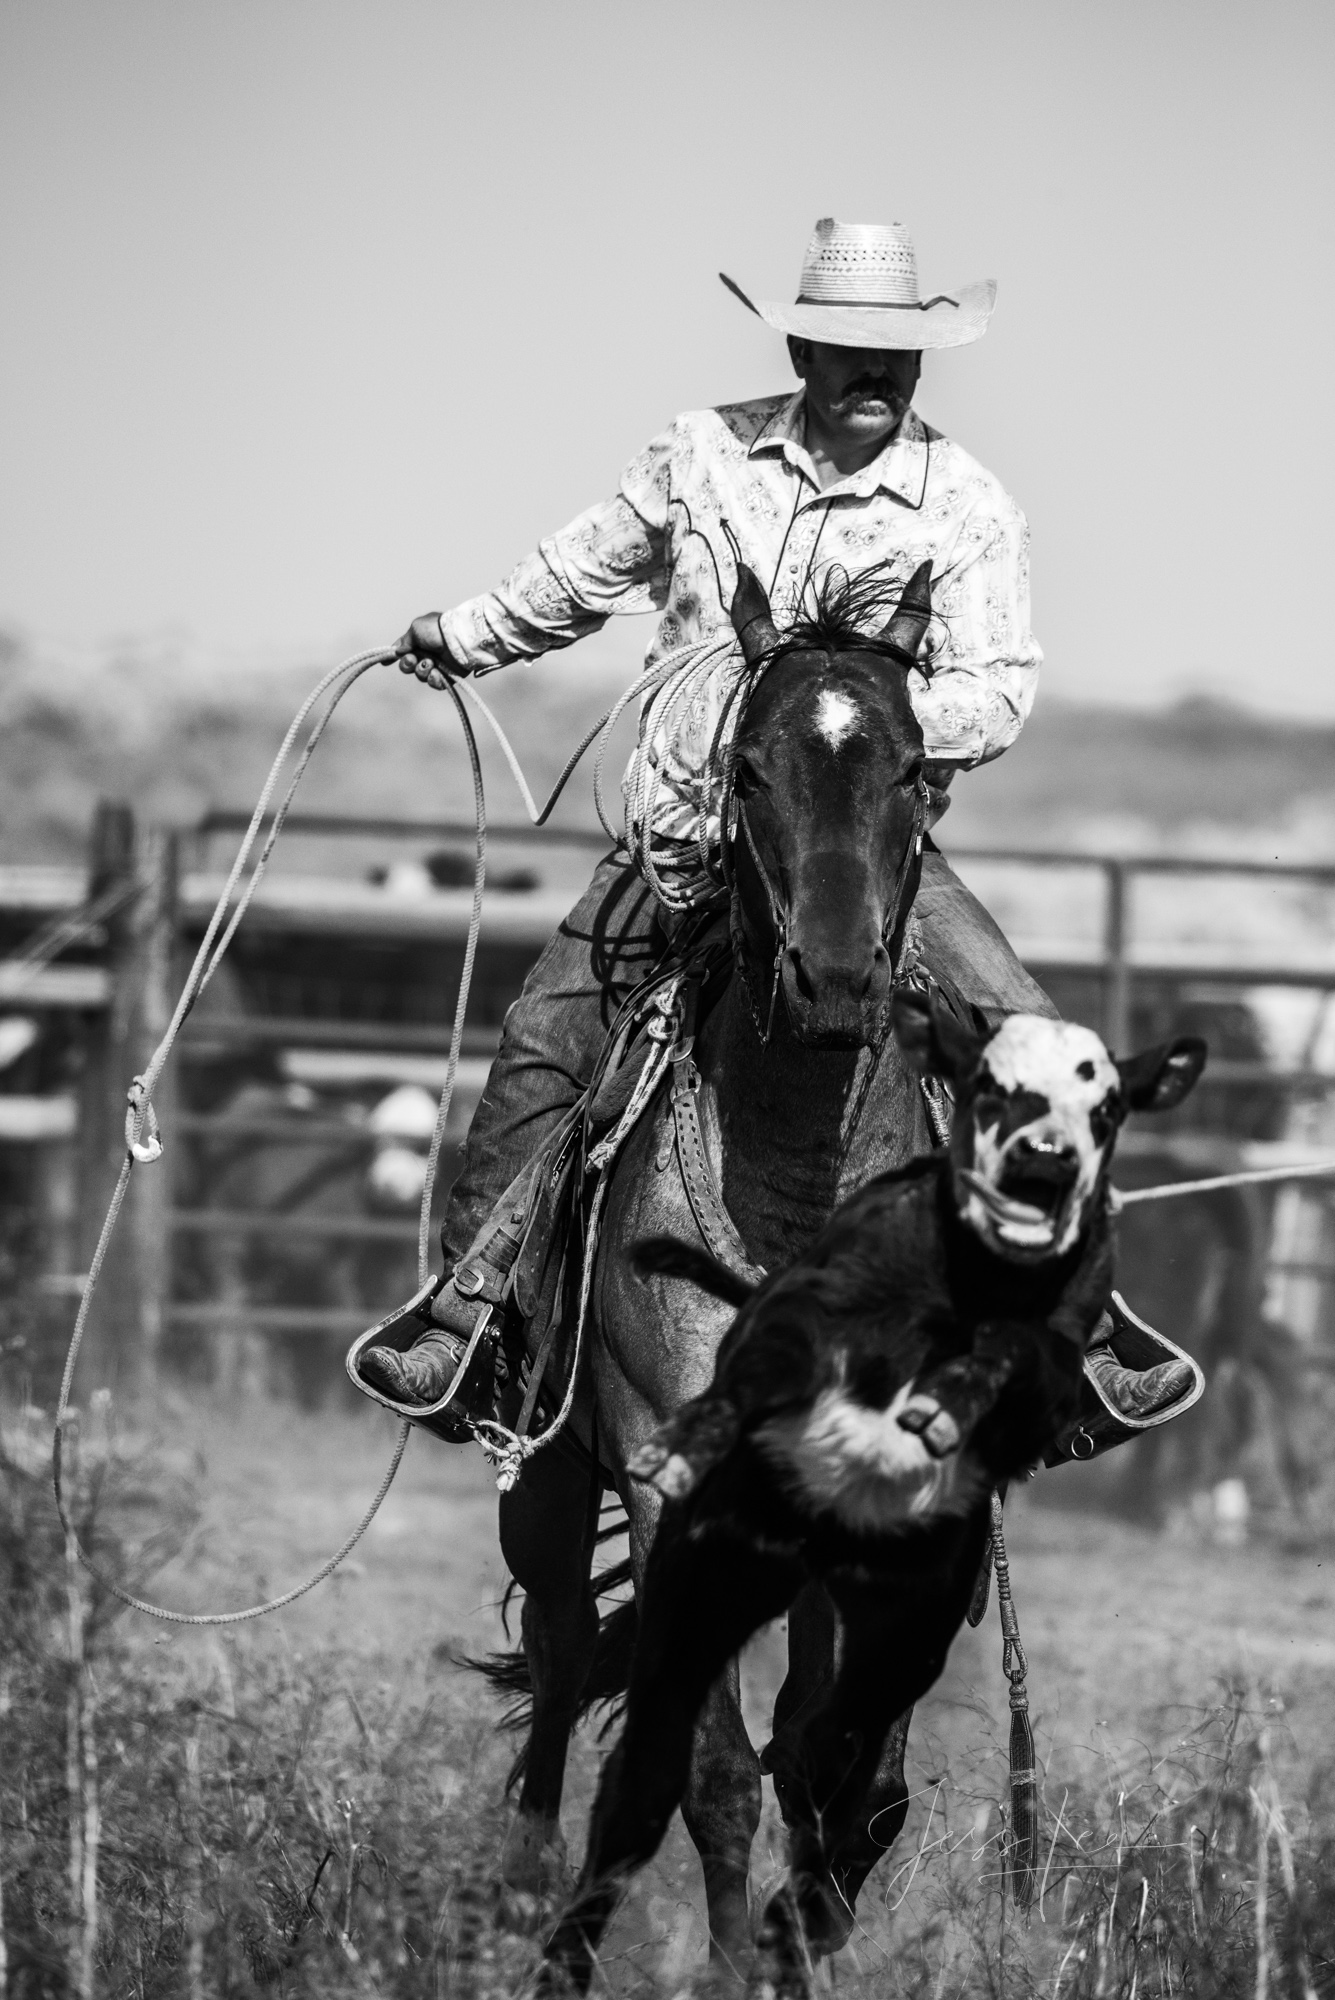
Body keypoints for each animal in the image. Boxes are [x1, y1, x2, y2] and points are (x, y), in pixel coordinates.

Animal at [489, 560, 939, 1968]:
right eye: (745, 767)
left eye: (915, 766)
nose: (835, 979)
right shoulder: (665, 1471)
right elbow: (723, 1768)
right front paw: (742, 1953)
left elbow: (847, 1767)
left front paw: (810, 1928)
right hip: (549, 1469)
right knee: (566, 1648)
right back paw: (527, 1891)